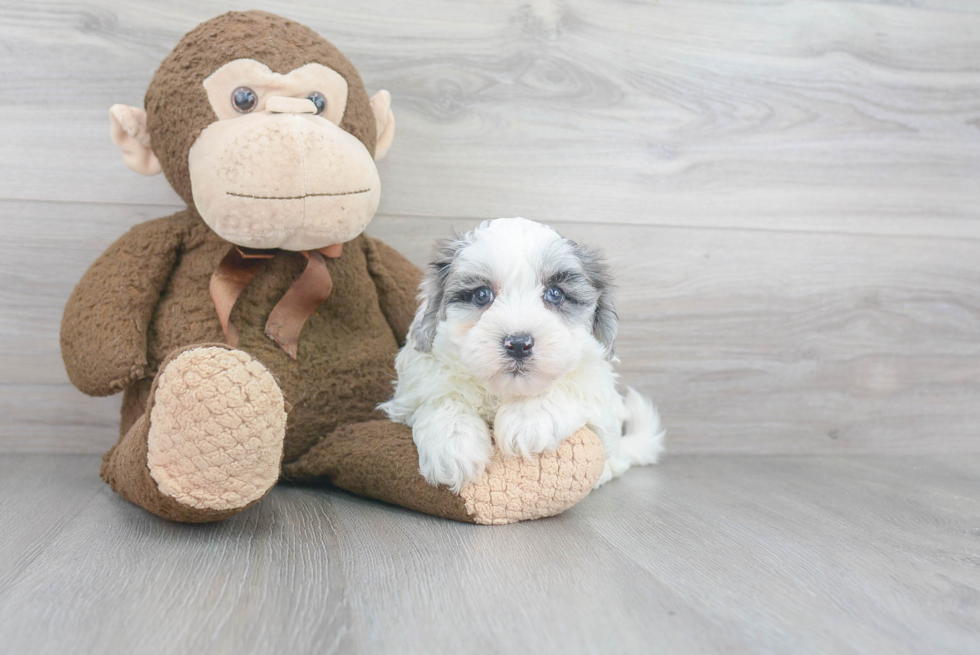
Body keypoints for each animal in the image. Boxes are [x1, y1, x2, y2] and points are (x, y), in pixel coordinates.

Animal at [380, 218, 668, 490]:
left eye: (555, 294)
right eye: (482, 295)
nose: (518, 344)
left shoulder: (599, 386)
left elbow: (572, 382)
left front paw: (529, 417)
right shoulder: (414, 386)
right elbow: (439, 398)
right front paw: (453, 447)